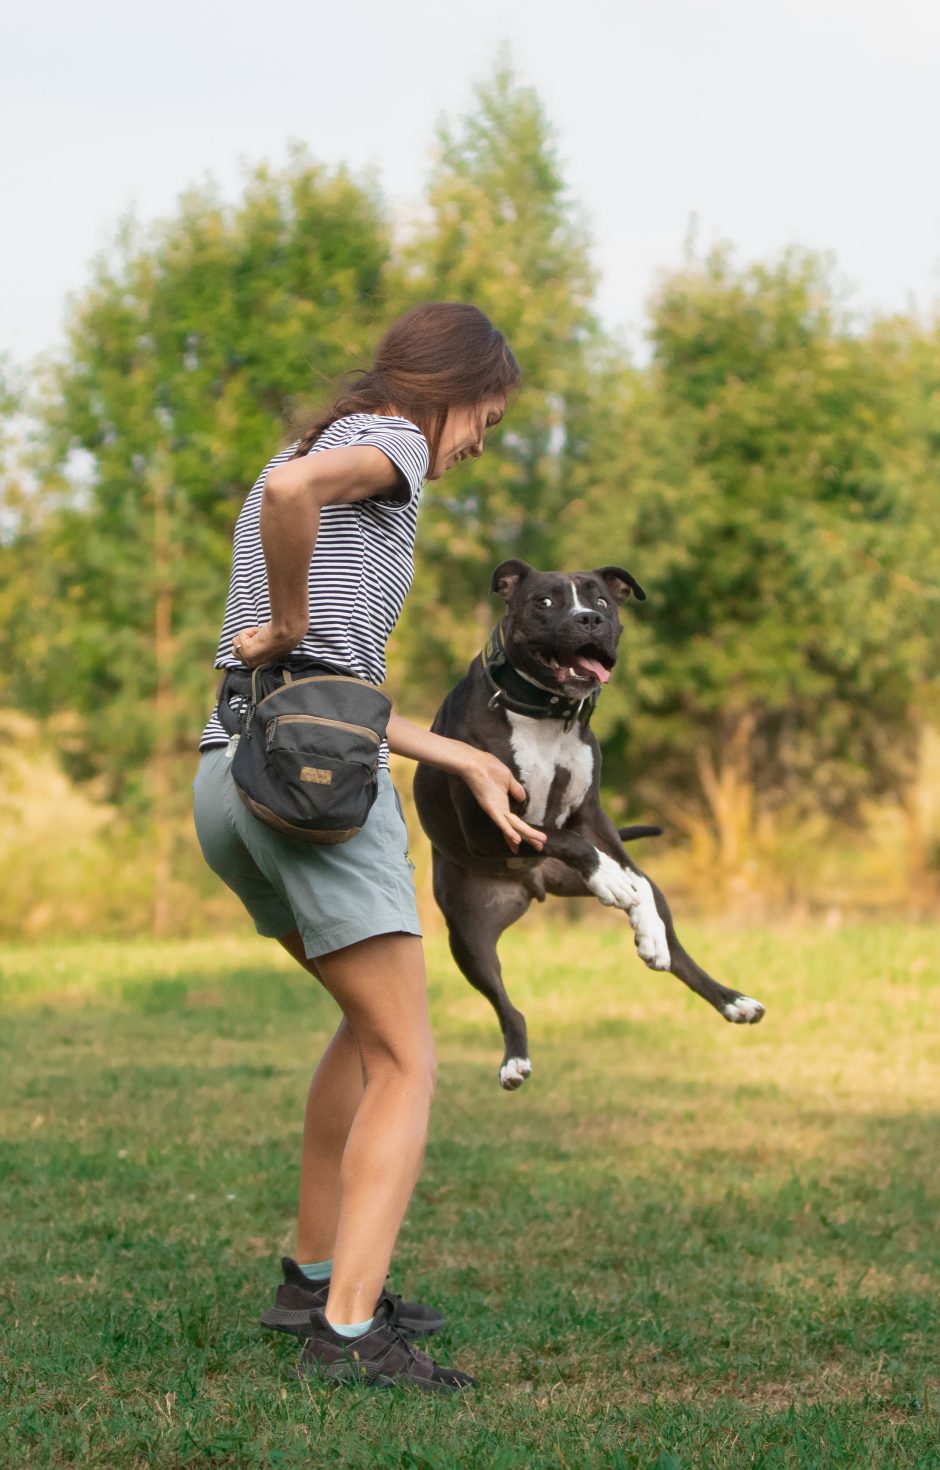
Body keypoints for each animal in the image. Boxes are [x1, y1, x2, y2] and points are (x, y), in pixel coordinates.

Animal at [414, 561, 764, 1093]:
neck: (545, 713)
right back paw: (514, 1060)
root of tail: (534, 882)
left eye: (601, 601)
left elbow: (618, 865)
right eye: (545, 602)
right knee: (506, 1005)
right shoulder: (492, 822)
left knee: (677, 948)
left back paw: (729, 997)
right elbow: (565, 838)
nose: (589, 620)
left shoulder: (594, 816)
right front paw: (608, 878)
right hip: (468, 934)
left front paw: (644, 923)